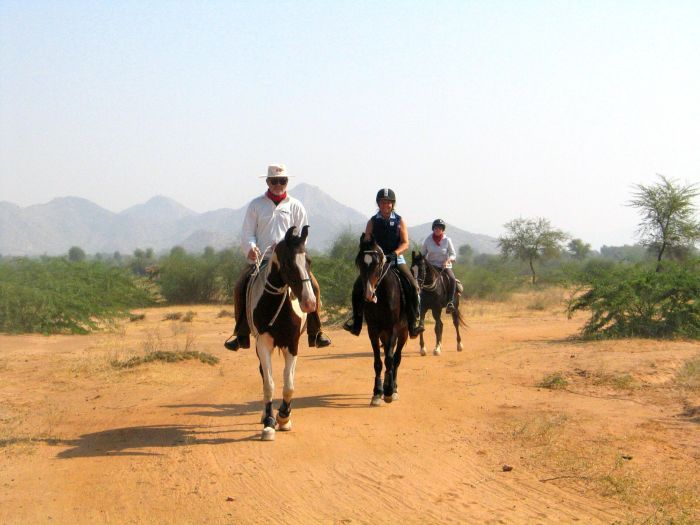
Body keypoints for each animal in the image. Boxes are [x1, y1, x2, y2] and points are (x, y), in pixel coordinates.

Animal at [249, 224, 318, 438]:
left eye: (308, 261)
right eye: (288, 263)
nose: (310, 302)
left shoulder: (292, 344)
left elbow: (289, 385)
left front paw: (284, 417)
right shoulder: (263, 344)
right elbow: (269, 384)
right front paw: (270, 422)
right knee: (265, 376)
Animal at [356, 234, 410, 406]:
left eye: (378, 262)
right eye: (359, 262)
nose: (368, 294)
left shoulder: (393, 329)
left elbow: (390, 359)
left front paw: (388, 392)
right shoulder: (373, 330)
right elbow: (378, 362)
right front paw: (377, 392)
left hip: (403, 332)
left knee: (396, 358)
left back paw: (394, 388)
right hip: (383, 334)